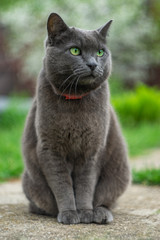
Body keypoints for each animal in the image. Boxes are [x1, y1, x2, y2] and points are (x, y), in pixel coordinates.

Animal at [21, 12, 131, 224]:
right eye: (75, 50)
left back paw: (101, 214)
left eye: (100, 52)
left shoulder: (92, 148)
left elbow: (85, 184)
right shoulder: (49, 148)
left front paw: (85, 213)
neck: (75, 99)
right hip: (29, 181)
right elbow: (62, 184)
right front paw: (69, 214)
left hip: (120, 174)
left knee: (107, 199)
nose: (93, 64)